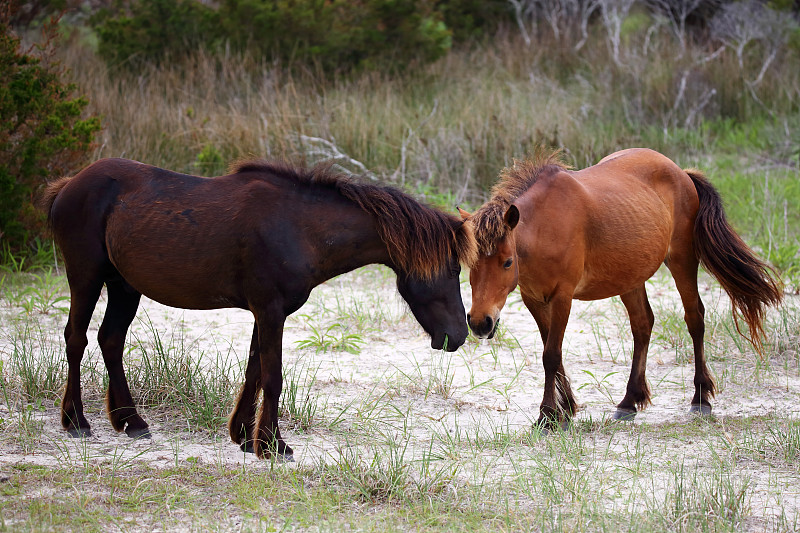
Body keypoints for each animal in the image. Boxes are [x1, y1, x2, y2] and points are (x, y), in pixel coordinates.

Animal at [42, 157, 476, 458]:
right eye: (453, 268)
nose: (459, 334)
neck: (300, 227)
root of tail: (69, 185)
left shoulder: (263, 313)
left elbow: (253, 371)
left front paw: (245, 436)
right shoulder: (270, 311)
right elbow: (273, 376)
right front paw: (273, 444)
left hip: (123, 286)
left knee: (111, 341)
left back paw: (131, 421)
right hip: (86, 277)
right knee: (76, 339)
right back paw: (76, 421)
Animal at [462, 149, 780, 428]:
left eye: (507, 262)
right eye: (470, 263)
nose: (479, 323)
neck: (545, 228)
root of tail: (681, 172)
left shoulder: (563, 297)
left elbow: (550, 355)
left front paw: (548, 416)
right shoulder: (534, 300)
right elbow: (552, 353)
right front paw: (566, 409)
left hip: (682, 261)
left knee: (695, 319)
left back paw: (700, 398)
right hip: (630, 278)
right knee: (642, 324)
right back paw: (629, 401)